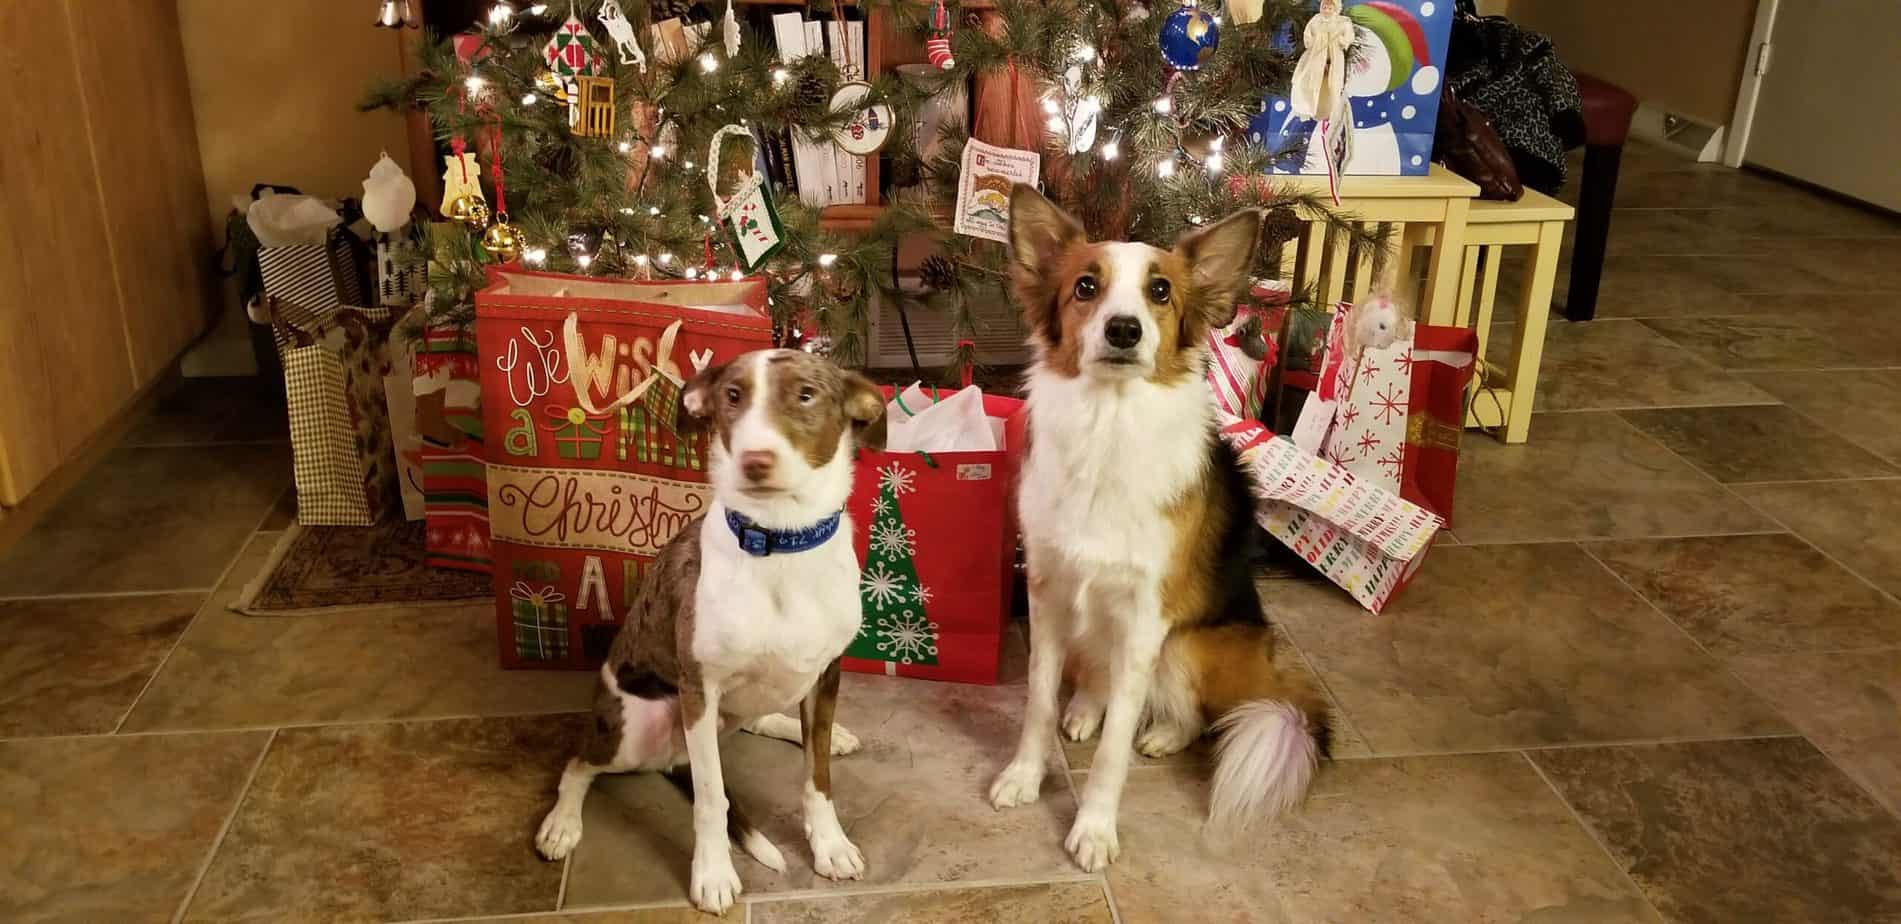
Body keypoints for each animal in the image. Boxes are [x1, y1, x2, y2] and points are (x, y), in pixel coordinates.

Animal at [536, 349, 882, 912]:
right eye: (732, 396)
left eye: (806, 394)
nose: (755, 461)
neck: (781, 541)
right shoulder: (700, 689)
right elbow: (711, 798)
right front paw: (714, 873)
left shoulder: (828, 674)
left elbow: (817, 778)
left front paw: (830, 845)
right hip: (635, 732)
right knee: (578, 764)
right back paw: (561, 824)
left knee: (764, 720)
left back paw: (830, 736)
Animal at [988, 186, 1330, 866]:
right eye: (1086, 286)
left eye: (1162, 291)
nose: (1124, 329)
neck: (1108, 427)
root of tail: (1267, 669)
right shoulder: (1048, 594)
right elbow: (1037, 701)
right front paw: (1025, 775)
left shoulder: (1146, 619)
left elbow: (1116, 746)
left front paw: (1094, 828)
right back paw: (1084, 709)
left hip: (1190, 645)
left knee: (1191, 712)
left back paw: (1165, 734)